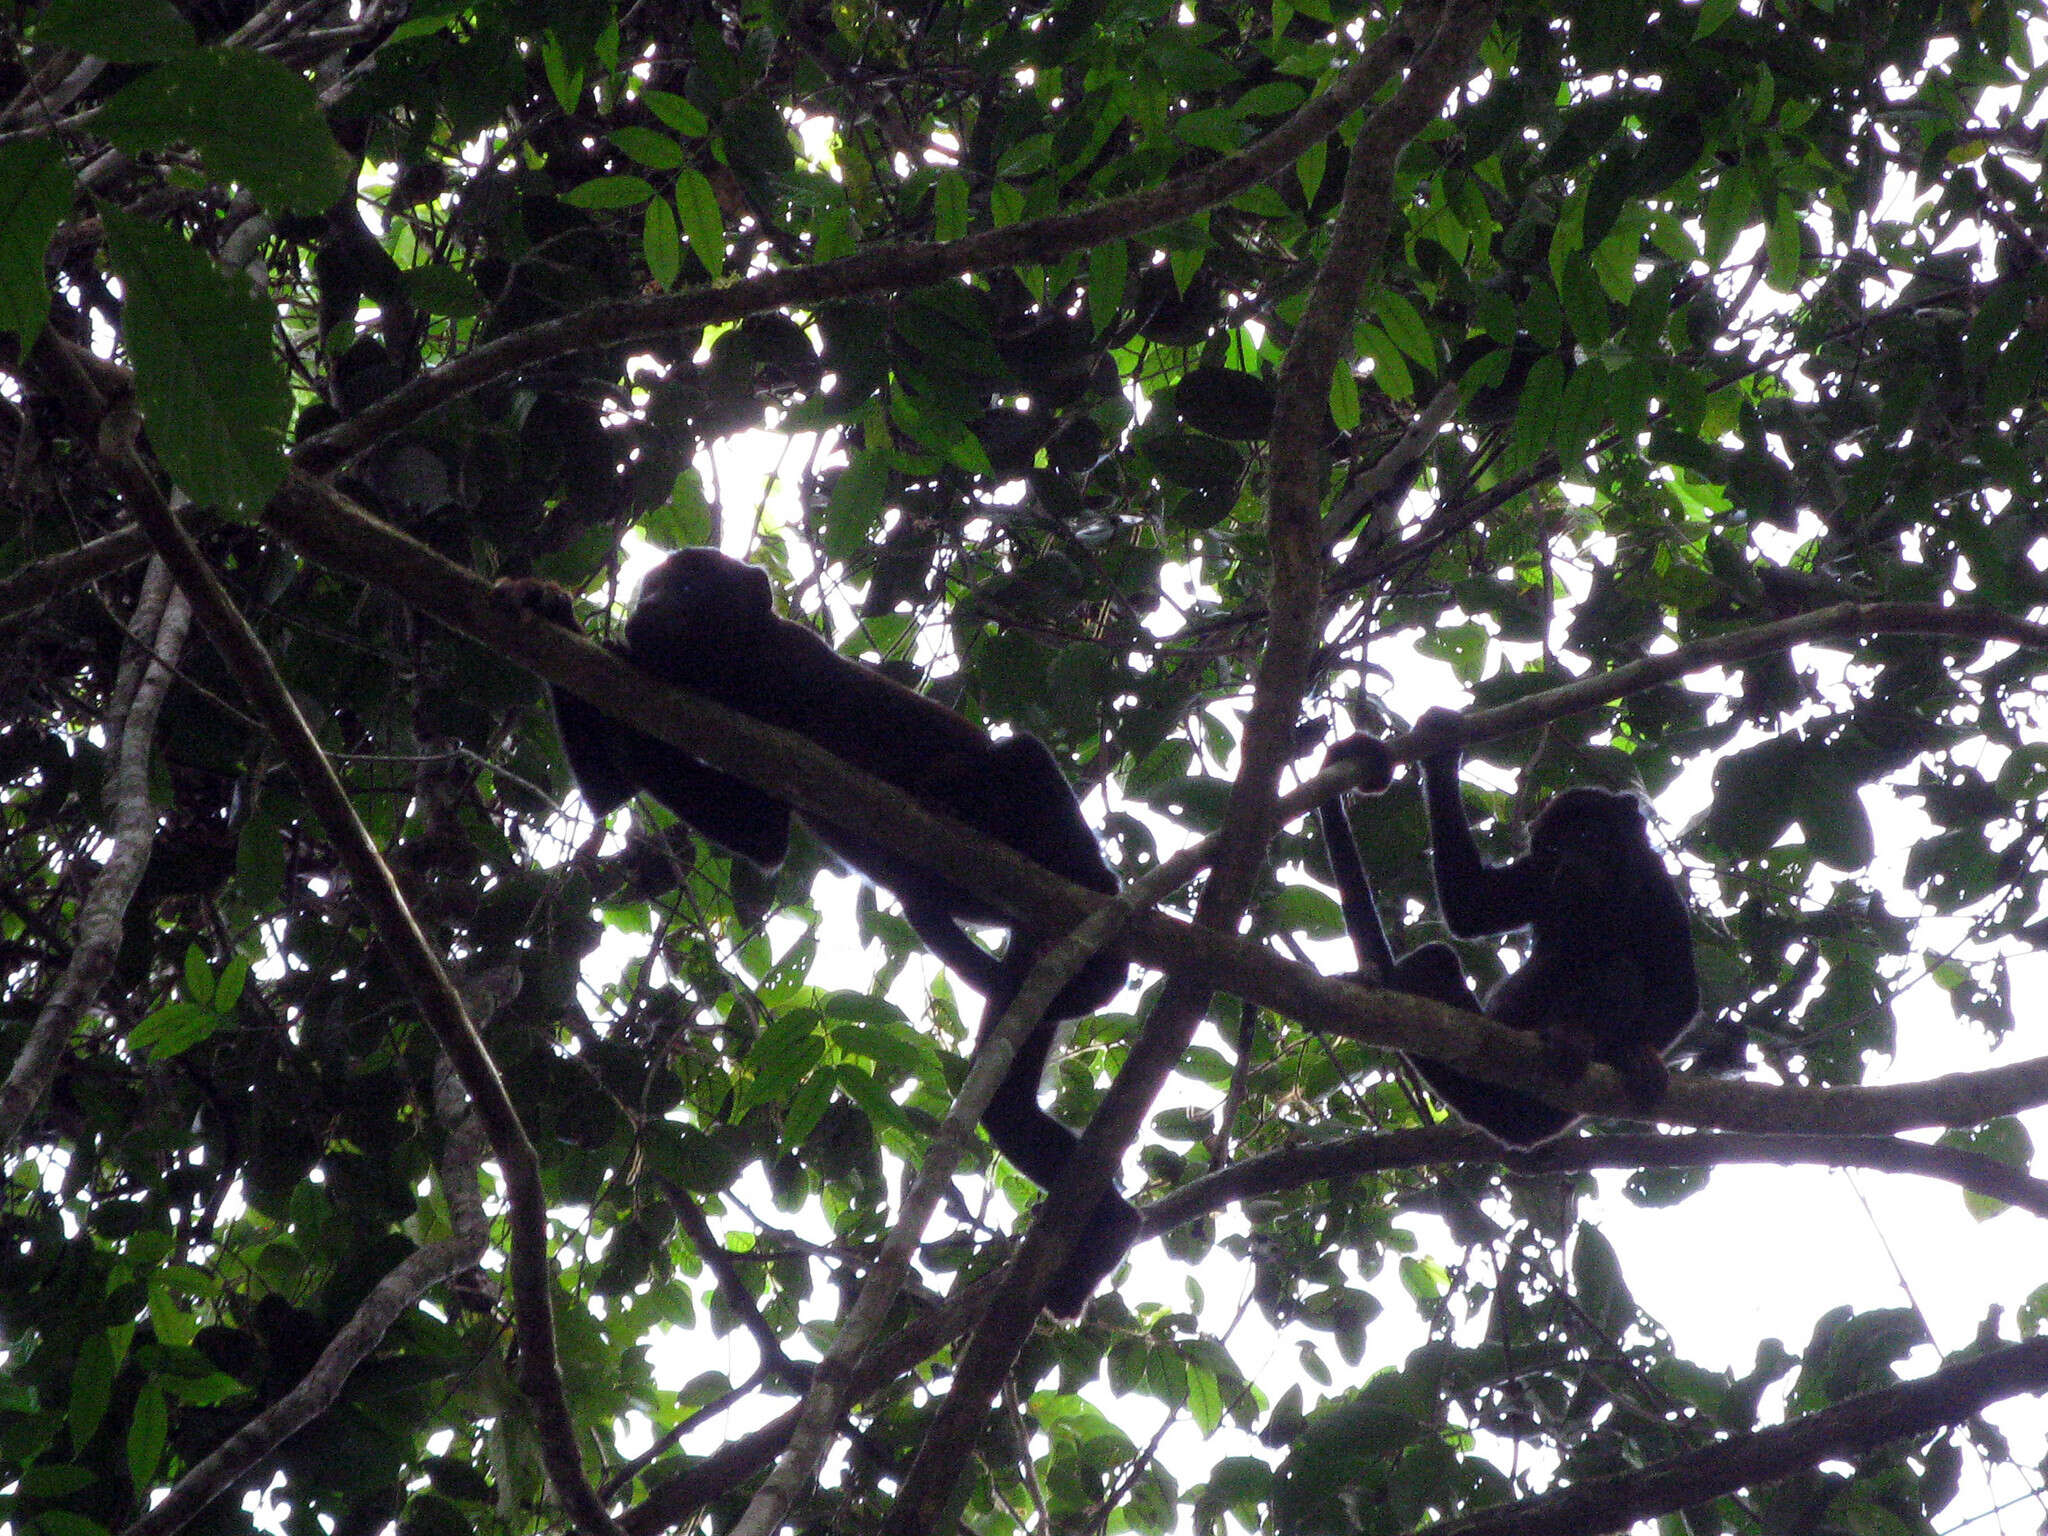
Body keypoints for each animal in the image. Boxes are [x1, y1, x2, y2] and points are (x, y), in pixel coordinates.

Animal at [495, 548, 1138, 1318]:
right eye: (651, 585)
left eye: (688, 584)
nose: (645, 606)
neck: (732, 669)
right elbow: (729, 822)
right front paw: (549, 607)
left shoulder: (791, 668)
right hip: (1036, 968)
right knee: (1007, 1106)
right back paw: (1106, 1234)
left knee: (1021, 756)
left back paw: (1094, 882)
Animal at [1310, 716, 1695, 1146]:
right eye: (1552, 851)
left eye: (1585, 835)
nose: (1569, 865)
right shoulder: (1537, 876)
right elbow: (1471, 907)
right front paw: (1442, 755)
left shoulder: (1657, 886)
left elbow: (1679, 988)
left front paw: (1636, 1054)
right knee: (1436, 960)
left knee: (1620, 971)